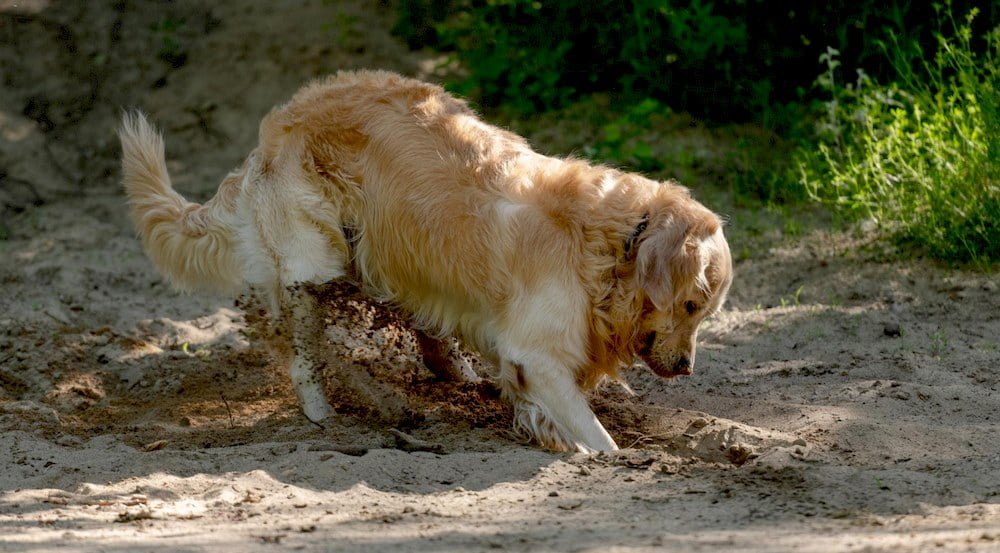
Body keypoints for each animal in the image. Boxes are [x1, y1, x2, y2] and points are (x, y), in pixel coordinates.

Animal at [123, 70, 736, 452]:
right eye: (692, 304)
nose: (687, 368)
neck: (612, 244)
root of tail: (273, 127)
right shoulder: (539, 354)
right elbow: (598, 438)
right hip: (317, 260)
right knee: (305, 345)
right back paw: (335, 406)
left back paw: (452, 372)